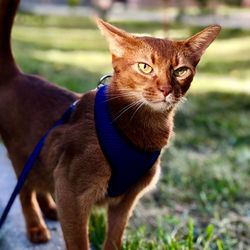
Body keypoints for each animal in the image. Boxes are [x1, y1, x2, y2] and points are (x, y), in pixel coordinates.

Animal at [0, 0, 221, 250]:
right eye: (145, 67)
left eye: (180, 71)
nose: (166, 90)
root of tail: (16, 76)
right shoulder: (70, 191)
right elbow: (78, 242)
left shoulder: (126, 200)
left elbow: (115, 236)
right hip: (21, 156)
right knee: (24, 191)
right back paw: (36, 228)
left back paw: (49, 209)